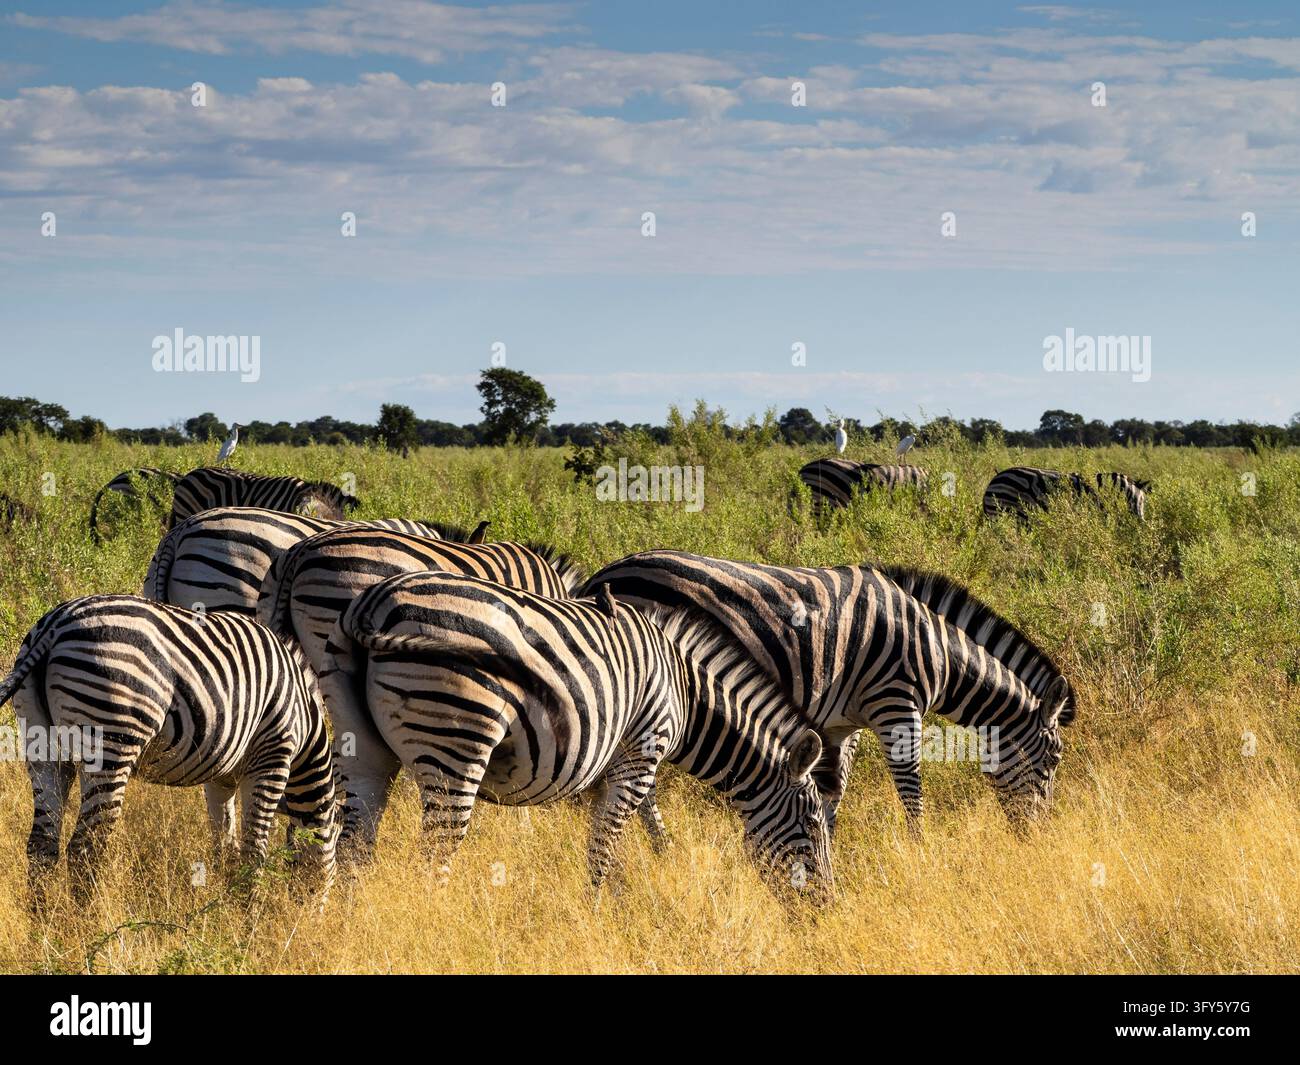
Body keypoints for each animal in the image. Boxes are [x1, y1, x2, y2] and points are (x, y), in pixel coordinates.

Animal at [0, 595, 337, 906]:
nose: (311, 919)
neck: (305, 719)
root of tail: (57, 623)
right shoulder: (273, 756)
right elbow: (254, 851)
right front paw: (249, 915)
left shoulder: (221, 777)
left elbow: (226, 846)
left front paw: (225, 909)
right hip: (111, 736)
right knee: (85, 848)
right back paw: (88, 923)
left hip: (43, 747)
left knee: (42, 844)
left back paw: (48, 926)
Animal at [320, 571, 834, 898]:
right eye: (812, 824)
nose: (825, 906)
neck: (683, 691)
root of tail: (376, 605)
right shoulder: (641, 755)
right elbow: (608, 842)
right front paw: (600, 906)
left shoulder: (610, 765)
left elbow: (616, 834)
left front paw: (628, 889)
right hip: (456, 744)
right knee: (434, 857)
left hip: (361, 748)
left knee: (354, 846)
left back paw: (350, 924)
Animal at [583, 551, 1075, 832]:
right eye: (1052, 762)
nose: (1040, 836)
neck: (935, 651)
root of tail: (600, 576)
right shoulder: (896, 704)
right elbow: (911, 791)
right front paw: (922, 854)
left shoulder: (843, 724)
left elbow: (834, 792)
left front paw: (828, 843)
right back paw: (660, 846)